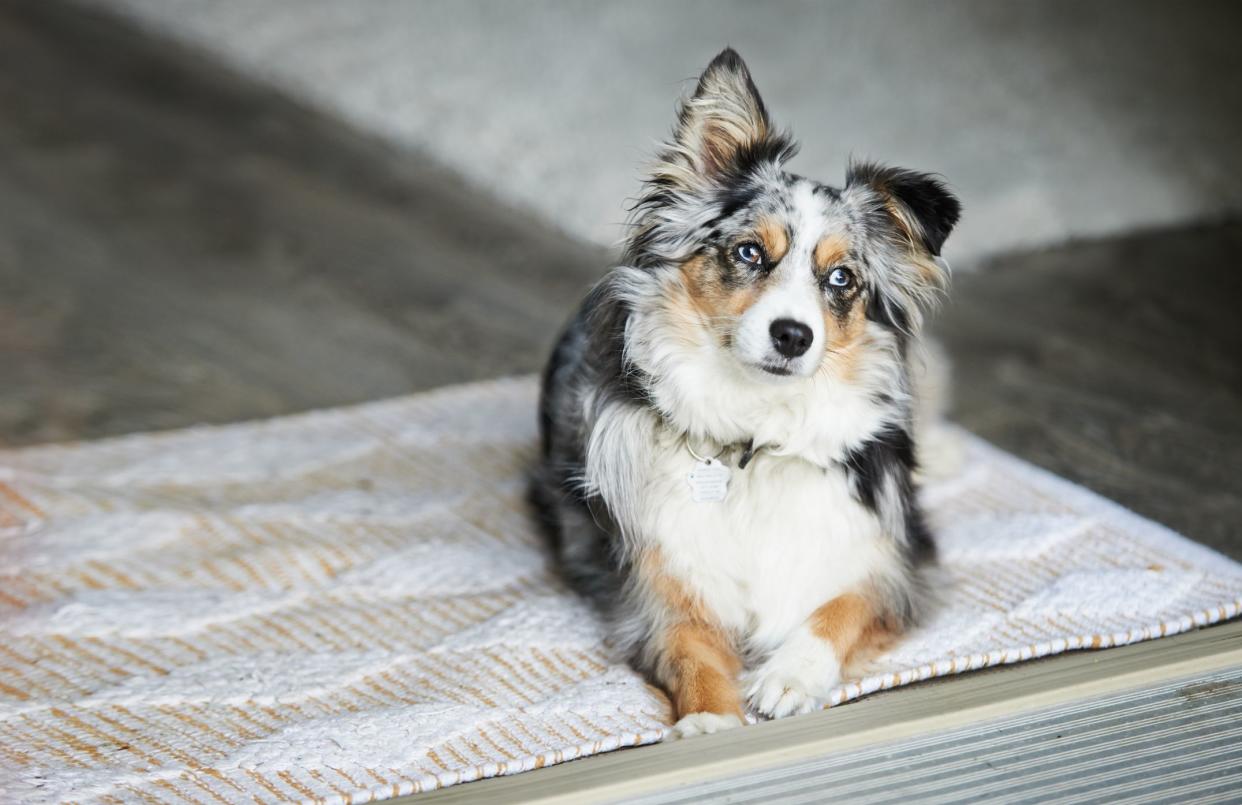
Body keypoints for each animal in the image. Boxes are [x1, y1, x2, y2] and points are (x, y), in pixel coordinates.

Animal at [534, 45, 958, 735]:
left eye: (841, 278)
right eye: (750, 253)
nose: (793, 336)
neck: (758, 436)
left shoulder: (898, 562)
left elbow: (841, 607)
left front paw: (789, 675)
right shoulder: (655, 582)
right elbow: (691, 650)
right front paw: (712, 723)